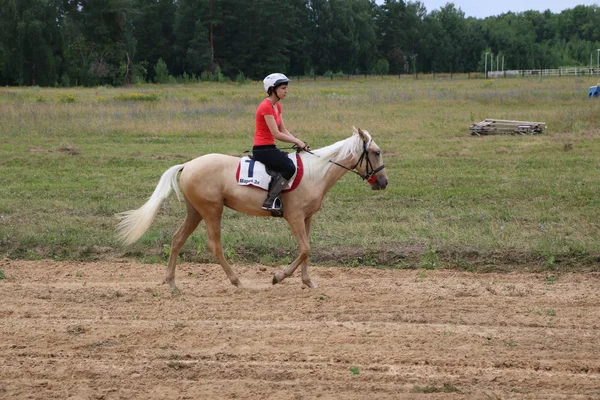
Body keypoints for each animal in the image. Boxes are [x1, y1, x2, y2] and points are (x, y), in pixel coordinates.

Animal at [117, 126, 390, 290]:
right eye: (376, 152)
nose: (384, 182)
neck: (316, 171)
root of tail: (189, 165)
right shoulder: (294, 217)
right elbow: (304, 249)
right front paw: (278, 277)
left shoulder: (307, 218)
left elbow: (307, 250)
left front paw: (308, 281)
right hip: (212, 210)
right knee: (214, 245)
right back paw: (236, 280)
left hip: (195, 211)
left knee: (176, 239)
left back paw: (172, 283)